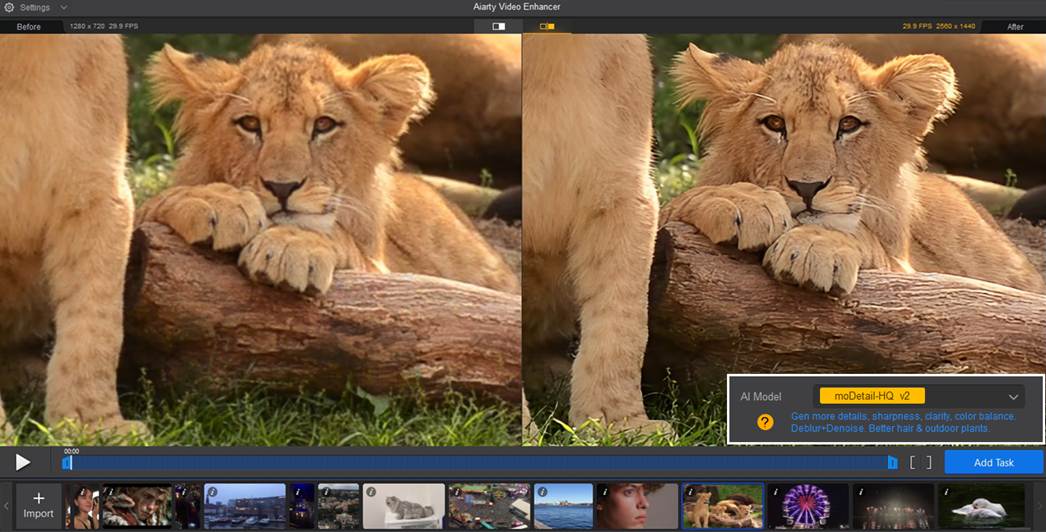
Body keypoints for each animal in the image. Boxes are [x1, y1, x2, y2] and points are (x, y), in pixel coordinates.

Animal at [137, 42, 519, 296]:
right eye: (249, 124)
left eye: (323, 125)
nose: (282, 187)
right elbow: (148, 206)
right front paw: (216, 202)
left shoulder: (385, 269)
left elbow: (340, 238)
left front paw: (291, 246)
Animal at [663, 42, 1046, 295]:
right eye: (774, 123)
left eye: (848, 125)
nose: (807, 187)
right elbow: (672, 205)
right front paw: (741, 201)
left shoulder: (911, 269)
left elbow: (862, 236)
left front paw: (815, 246)